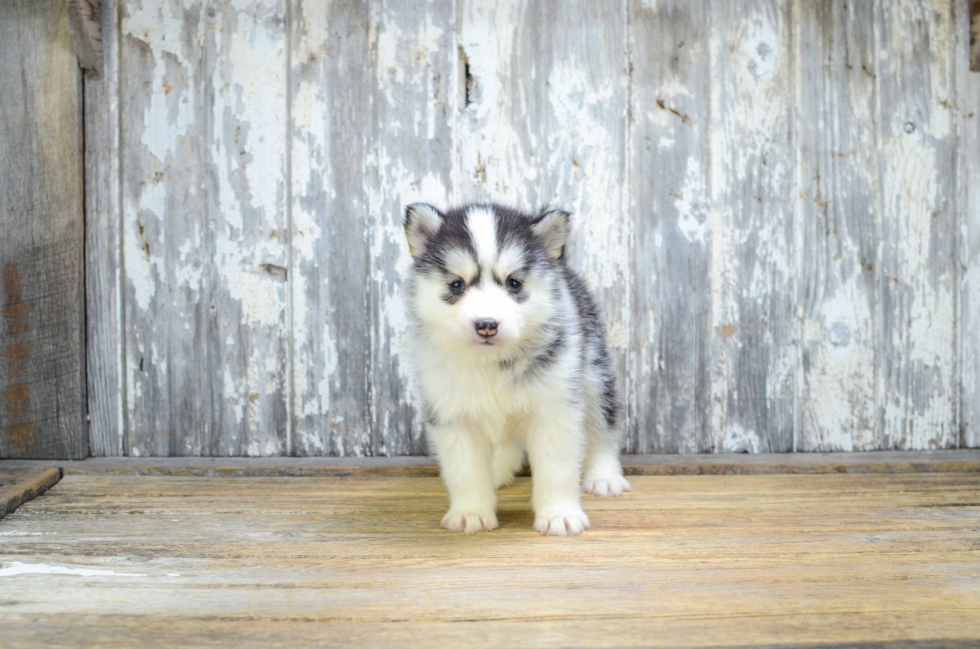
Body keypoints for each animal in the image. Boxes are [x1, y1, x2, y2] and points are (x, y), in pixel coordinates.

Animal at [404, 202, 628, 536]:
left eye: (514, 283)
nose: (486, 324)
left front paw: (559, 514)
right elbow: (465, 471)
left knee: (603, 427)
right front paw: (470, 512)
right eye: (457, 284)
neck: (492, 363)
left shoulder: (555, 409)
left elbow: (556, 468)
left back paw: (604, 475)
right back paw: (497, 470)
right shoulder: (452, 415)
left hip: (592, 376)